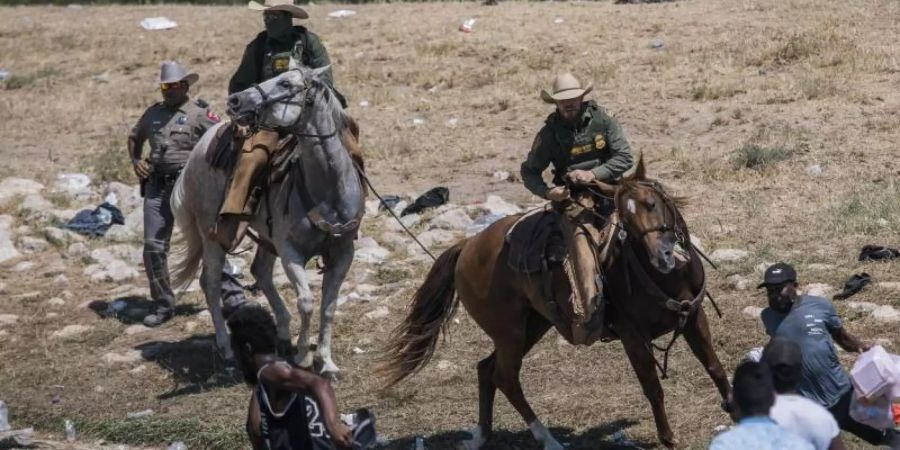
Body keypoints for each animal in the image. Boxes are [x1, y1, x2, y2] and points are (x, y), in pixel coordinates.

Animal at [169, 65, 366, 378]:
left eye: (285, 83)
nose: (235, 100)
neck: (327, 189)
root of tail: (199, 148)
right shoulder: (290, 252)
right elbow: (307, 302)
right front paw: (304, 357)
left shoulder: (343, 252)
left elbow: (329, 306)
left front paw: (326, 361)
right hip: (212, 236)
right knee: (210, 283)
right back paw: (226, 348)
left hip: (265, 236)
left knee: (259, 271)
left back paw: (283, 333)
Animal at [378, 160, 732, 448]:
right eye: (625, 221)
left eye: (652, 203)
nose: (663, 255)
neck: (663, 277)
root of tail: (467, 246)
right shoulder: (633, 338)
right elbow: (653, 387)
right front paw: (668, 438)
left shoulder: (693, 317)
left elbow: (715, 367)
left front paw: (733, 409)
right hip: (509, 332)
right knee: (506, 377)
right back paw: (547, 439)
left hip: (532, 325)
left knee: (486, 369)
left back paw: (482, 435)